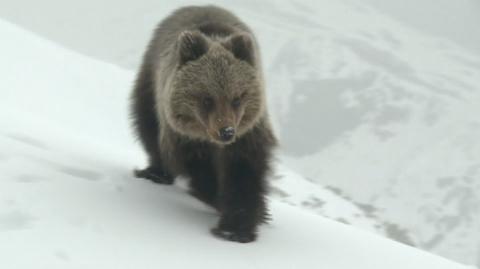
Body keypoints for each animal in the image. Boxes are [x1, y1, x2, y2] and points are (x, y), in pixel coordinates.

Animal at [131, 4, 276, 243]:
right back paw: (154, 172)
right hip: (149, 88)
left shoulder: (247, 134)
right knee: (147, 128)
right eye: (207, 99)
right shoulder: (184, 137)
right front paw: (222, 208)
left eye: (237, 98)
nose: (226, 131)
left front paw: (239, 227)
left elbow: (244, 173)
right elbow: (200, 169)